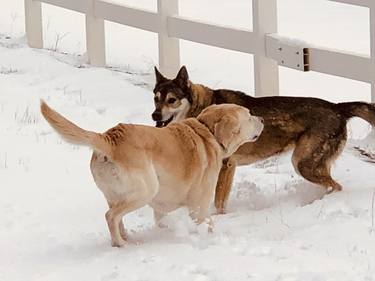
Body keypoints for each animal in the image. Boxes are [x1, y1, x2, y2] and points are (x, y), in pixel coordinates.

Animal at [40, 100, 264, 245]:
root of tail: (109, 138)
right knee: (111, 216)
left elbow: (161, 217)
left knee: (117, 217)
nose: (262, 118)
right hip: (145, 190)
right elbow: (205, 222)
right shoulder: (200, 203)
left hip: (115, 194)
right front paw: (209, 237)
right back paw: (120, 243)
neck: (207, 130)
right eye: (248, 115)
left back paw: (127, 237)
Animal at [151, 65, 375, 213]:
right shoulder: (228, 167)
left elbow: (218, 200)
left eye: (172, 100)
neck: (201, 108)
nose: (155, 116)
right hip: (311, 163)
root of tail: (338, 107)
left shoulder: (225, 165)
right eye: (156, 98)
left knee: (336, 186)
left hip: (303, 163)